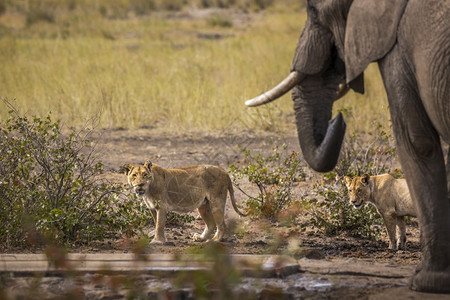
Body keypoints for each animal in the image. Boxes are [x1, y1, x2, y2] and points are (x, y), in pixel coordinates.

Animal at [246, 0, 450, 292]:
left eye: (312, 9)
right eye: (349, 190)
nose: (339, 117)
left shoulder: (397, 52)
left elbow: (416, 142)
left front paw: (421, 279)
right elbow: (400, 226)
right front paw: (402, 249)